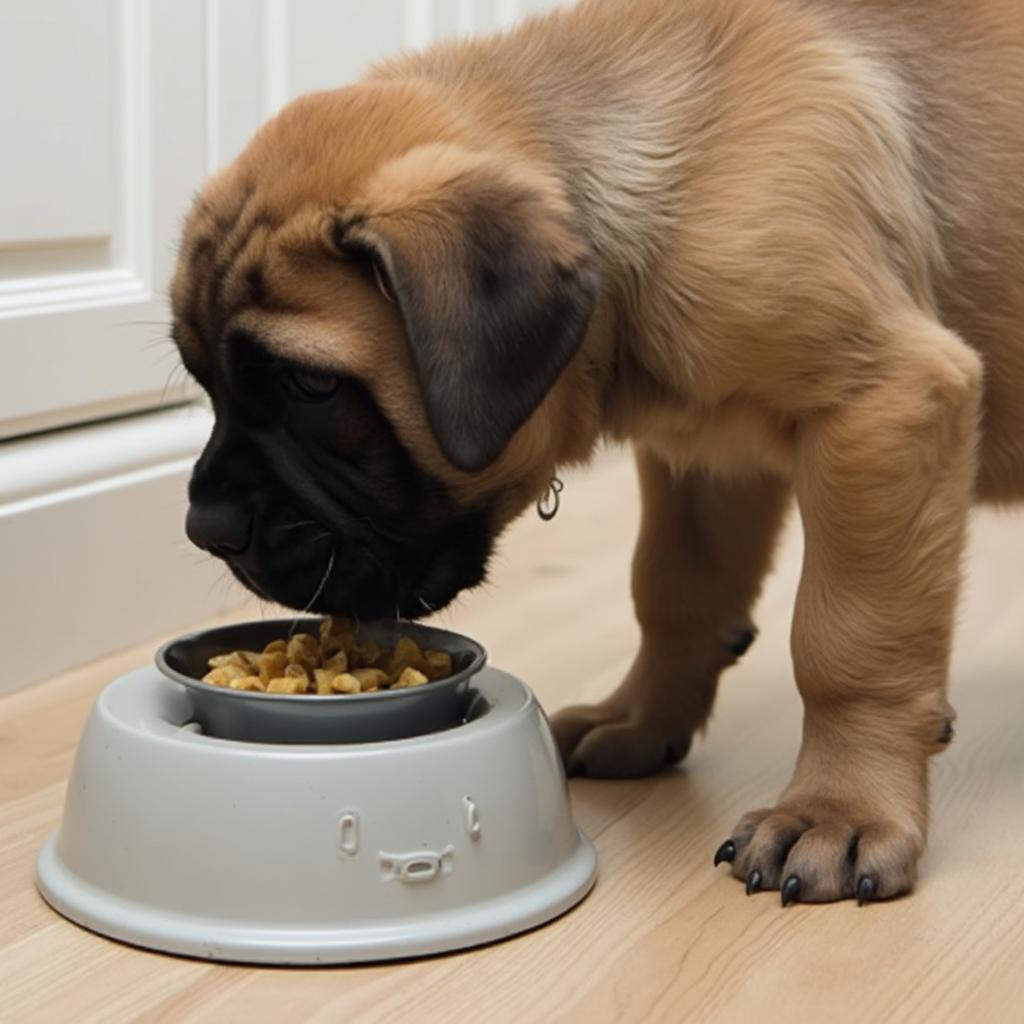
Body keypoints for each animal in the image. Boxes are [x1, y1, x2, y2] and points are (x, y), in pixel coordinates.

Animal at [169, 0, 1024, 905]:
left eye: (312, 387)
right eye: (205, 381)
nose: (205, 529)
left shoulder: (885, 403)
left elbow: (849, 640)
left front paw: (838, 808)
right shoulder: (705, 455)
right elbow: (675, 591)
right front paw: (639, 719)